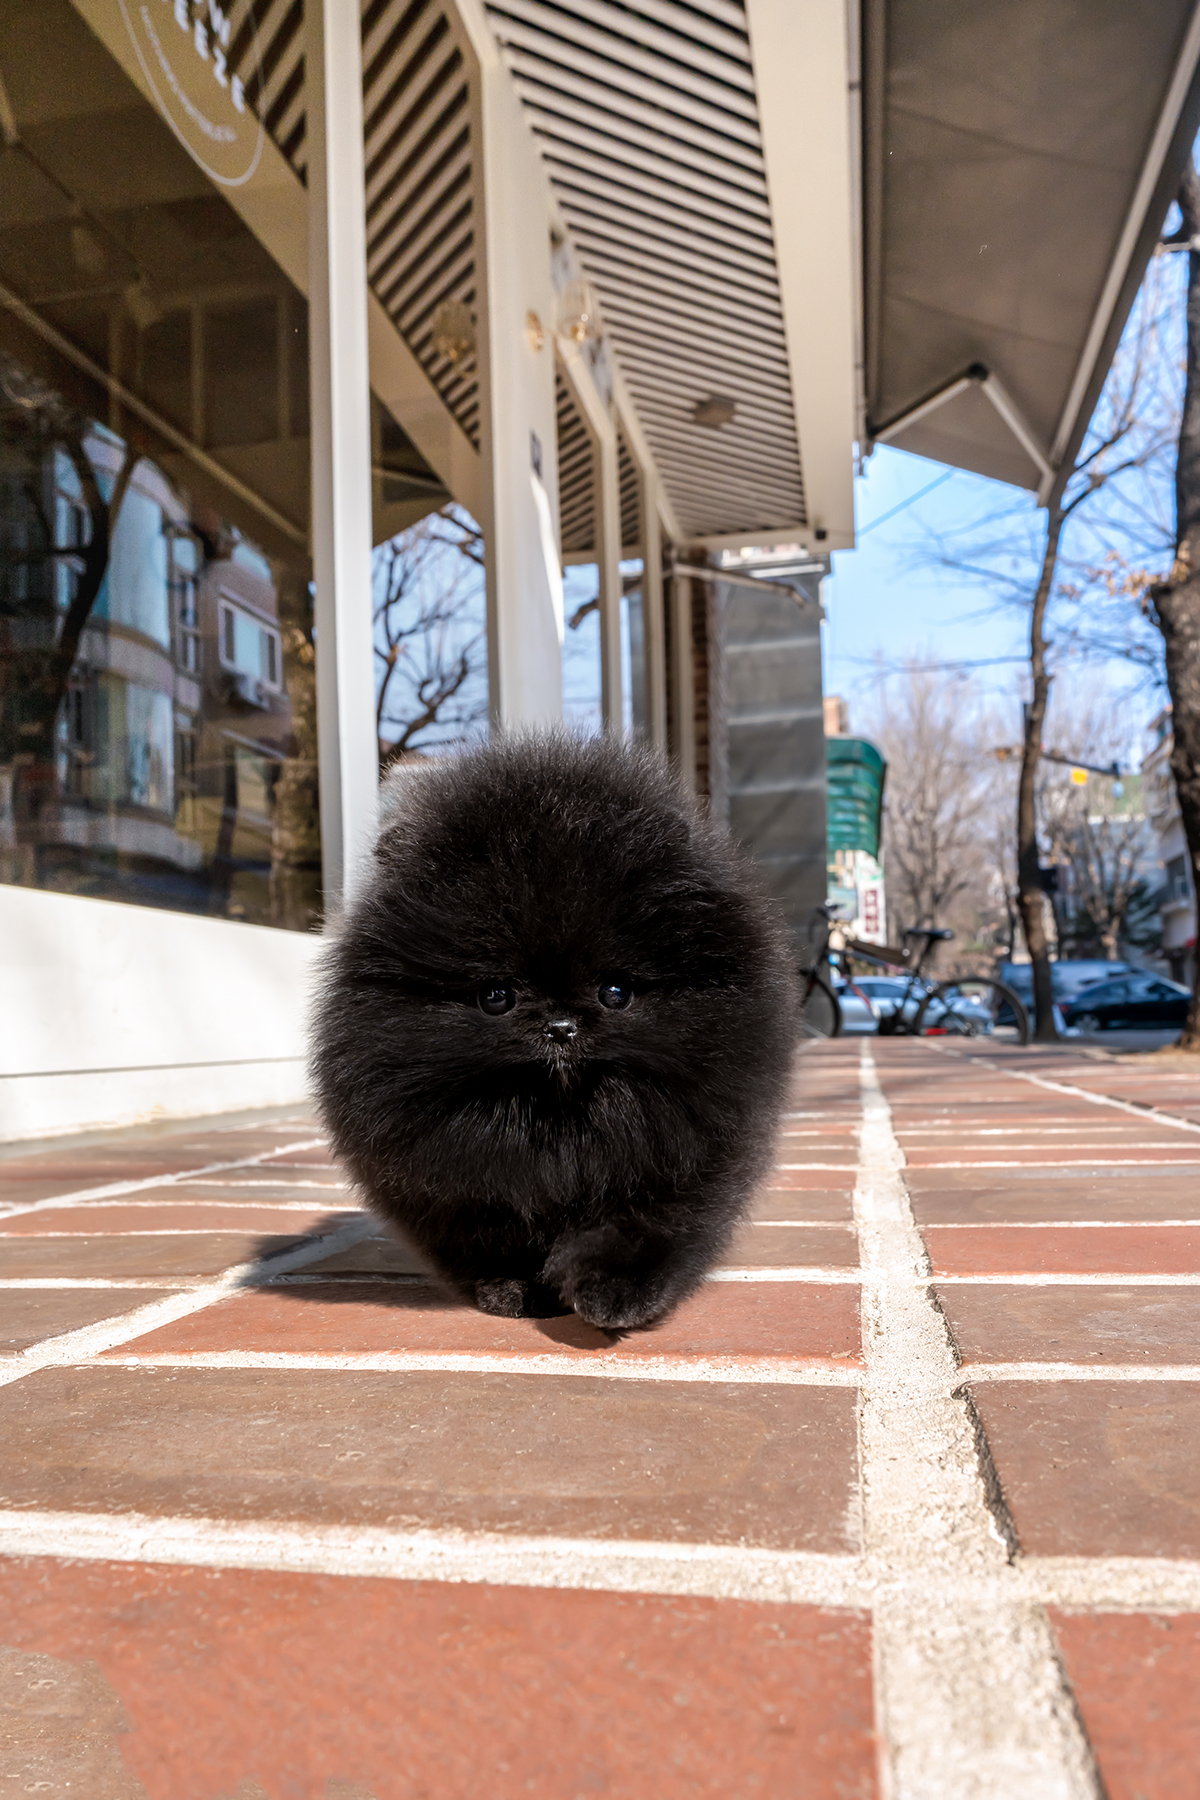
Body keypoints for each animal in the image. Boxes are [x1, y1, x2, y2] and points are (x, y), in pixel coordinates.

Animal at [309, 723, 798, 1332]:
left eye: (616, 993)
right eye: (496, 997)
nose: (561, 1025)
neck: (562, 1130)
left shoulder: (689, 1151)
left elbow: (647, 1228)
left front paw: (615, 1294)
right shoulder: (456, 1183)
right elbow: (494, 1237)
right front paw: (513, 1289)